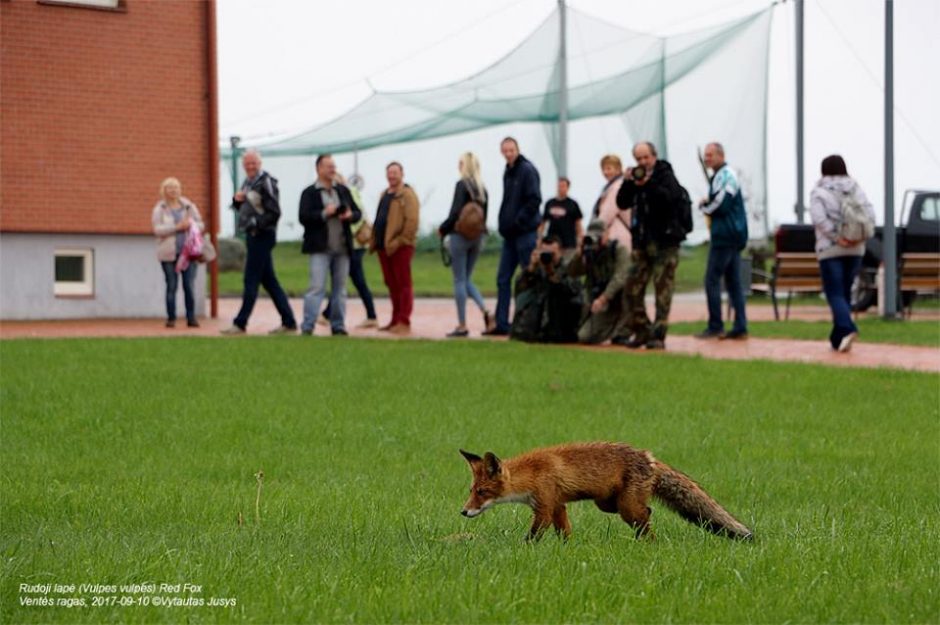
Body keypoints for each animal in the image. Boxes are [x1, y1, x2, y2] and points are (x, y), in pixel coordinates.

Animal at [458, 442, 752, 540]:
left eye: (482, 492)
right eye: (472, 490)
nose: (463, 511)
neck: (532, 474)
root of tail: (650, 458)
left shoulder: (544, 507)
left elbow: (533, 536)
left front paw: (526, 550)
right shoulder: (558, 505)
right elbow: (564, 532)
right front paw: (567, 550)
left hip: (626, 507)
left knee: (646, 517)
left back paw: (648, 544)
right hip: (609, 503)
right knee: (648, 511)